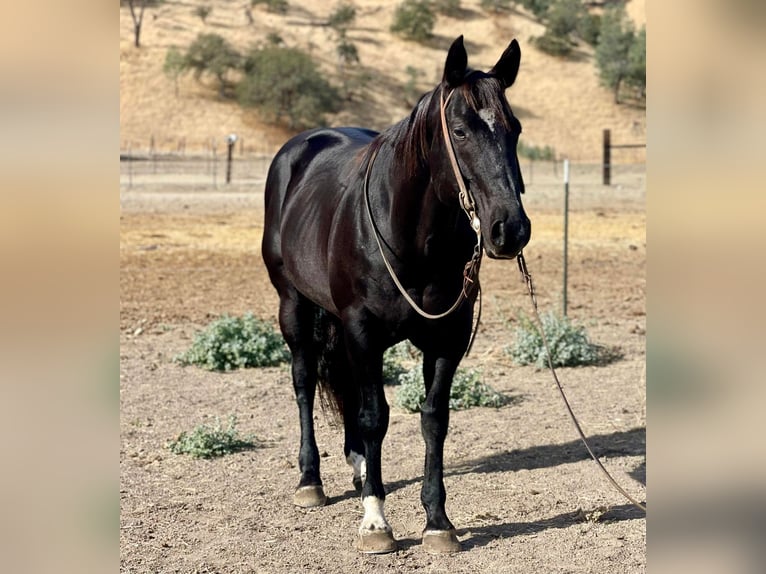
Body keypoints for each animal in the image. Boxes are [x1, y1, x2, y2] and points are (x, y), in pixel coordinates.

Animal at [260, 35, 532, 552]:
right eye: (460, 131)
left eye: (516, 130)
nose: (510, 229)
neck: (411, 236)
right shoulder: (363, 331)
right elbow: (374, 417)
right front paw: (375, 522)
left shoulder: (447, 338)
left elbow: (433, 419)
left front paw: (438, 521)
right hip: (294, 306)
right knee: (304, 381)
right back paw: (311, 480)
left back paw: (358, 465)